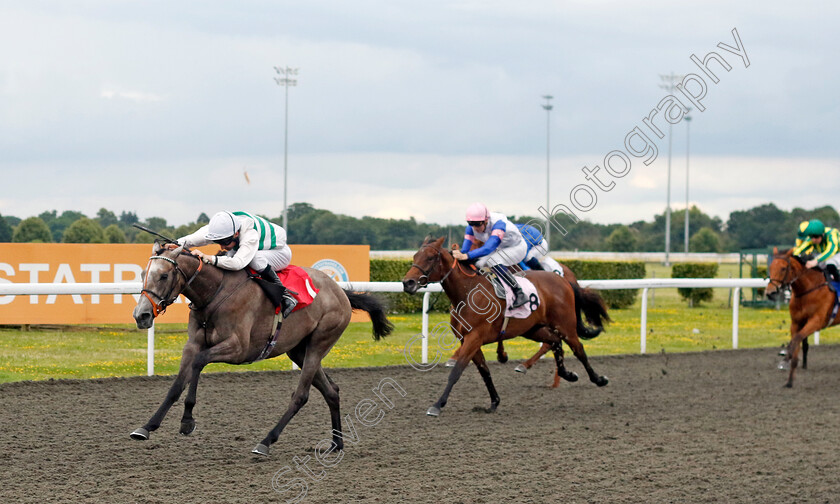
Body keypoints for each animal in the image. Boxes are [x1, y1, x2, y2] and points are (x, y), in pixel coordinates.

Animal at [130, 242, 394, 454]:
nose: (141, 315)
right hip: (299, 350)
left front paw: (187, 420)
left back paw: (266, 441)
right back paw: (336, 444)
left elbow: (199, 362)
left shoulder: (238, 348)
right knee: (332, 391)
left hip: (320, 342)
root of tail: (341, 291)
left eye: (164, 276)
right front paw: (147, 426)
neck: (215, 293)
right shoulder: (192, 344)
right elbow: (176, 385)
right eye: (143, 273)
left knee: (301, 396)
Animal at [402, 238, 612, 416]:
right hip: (533, 329)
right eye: (414, 257)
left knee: (578, 349)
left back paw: (599, 379)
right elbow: (484, 371)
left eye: (430, 257)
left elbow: (456, 372)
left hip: (565, 325)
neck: (467, 293)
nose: (407, 283)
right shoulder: (467, 340)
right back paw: (566, 374)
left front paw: (437, 405)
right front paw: (494, 402)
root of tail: (564, 280)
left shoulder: (474, 337)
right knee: (554, 342)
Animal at [764, 247, 836, 386]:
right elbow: (797, 341)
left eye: (783, 268)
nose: (770, 293)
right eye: (770, 267)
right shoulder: (796, 322)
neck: (808, 289)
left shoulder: (816, 321)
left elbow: (797, 339)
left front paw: (787, 359)